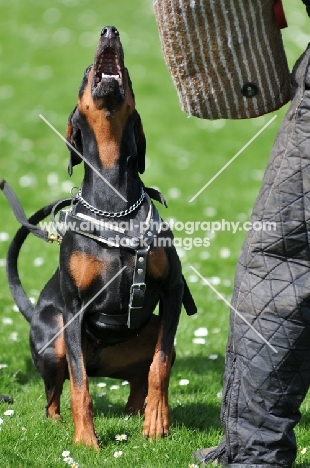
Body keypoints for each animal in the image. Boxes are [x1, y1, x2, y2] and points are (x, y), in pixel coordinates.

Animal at [5, 26, 196, 450]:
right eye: (85, 72)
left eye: (128, 72)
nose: (109, 30)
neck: (114, 200)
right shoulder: (74, 309)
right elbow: (80, 385)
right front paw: (86, 440)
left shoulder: (173, 290)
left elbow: (160, 365)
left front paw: (157, 422)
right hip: (54, 336)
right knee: (56, 392)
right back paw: (60, 423)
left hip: (147, 332)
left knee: (142, 373)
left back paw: (138, 410)